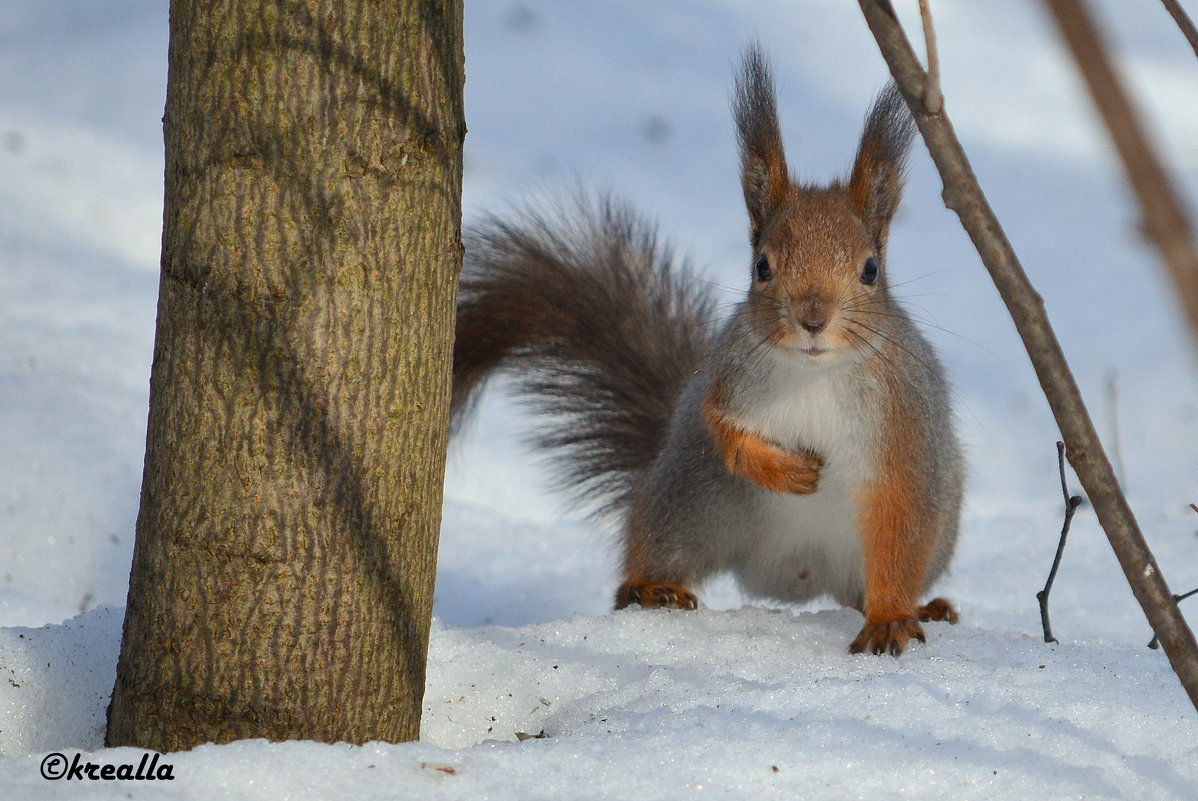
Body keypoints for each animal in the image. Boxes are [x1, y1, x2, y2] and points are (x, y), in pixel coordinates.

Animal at [450, 45, 963, 656]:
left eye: (870, 270)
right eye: (762, 267)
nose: (813, 319)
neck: (816, 373)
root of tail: (795, 579)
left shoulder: (904, 435)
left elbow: (900, 528)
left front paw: (889, 620)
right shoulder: (729, 378)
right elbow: (724, 428)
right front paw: (787, 472)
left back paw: (919, 607)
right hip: (695, 497)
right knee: (662, 546)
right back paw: (650, 588)